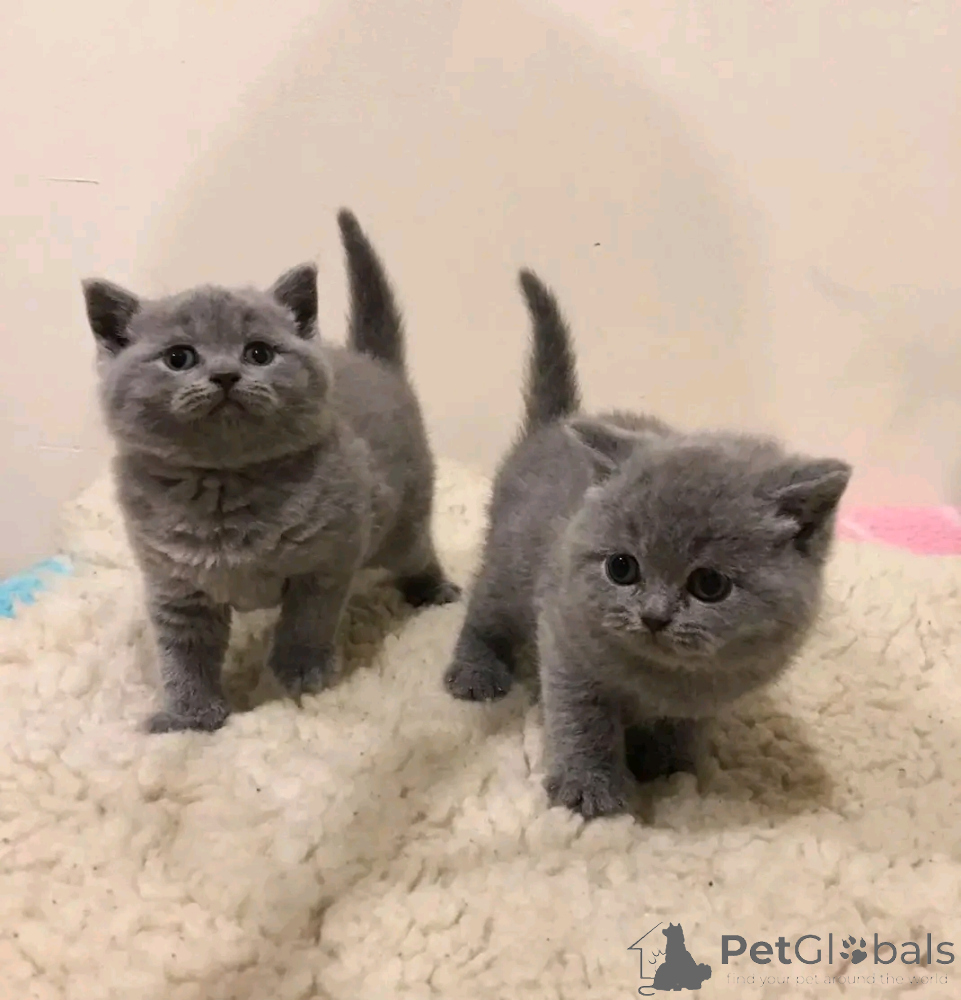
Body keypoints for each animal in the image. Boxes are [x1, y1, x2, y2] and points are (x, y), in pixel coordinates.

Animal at [82, 209, 460, 733]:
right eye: (179, 357)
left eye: (258, 353)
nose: (225, 375)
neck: (224, 486)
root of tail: (373, 362)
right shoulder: (175, 586)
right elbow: (184, 654)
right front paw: (188, 718)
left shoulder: (328, 560)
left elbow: (307, 622)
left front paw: (300, 676)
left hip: (401, 524)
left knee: (418, 552)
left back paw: (435, 590)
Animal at [443, 270, 851, 818]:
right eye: (622, 568)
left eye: (709, 584)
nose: (655, 616)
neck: (662, 678)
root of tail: (551, 425)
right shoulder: (566, 645)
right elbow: (583, 720)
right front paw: (589, 788)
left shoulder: (713, 694)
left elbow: (684, 725)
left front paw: (667, 765)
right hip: (511, 563)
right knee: (485, 611)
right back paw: (476, 671)